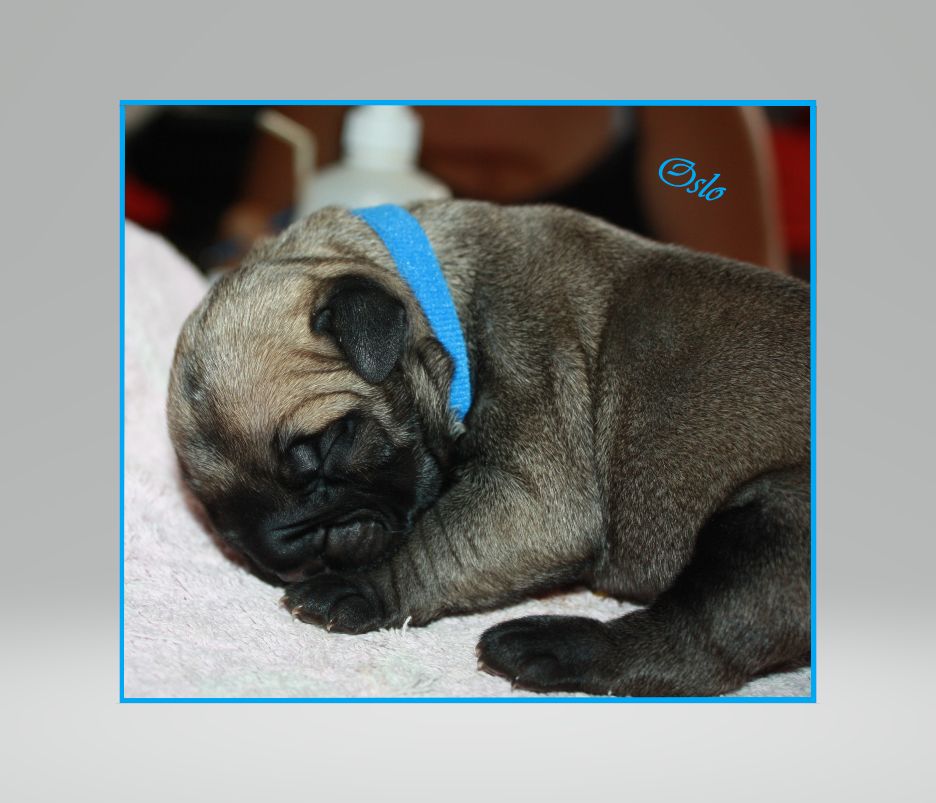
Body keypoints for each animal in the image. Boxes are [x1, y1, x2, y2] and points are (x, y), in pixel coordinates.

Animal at [167, 200, 811, 696]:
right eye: (221, 519)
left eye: (332, 446)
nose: (289, 551)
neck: (447, 294)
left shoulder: (533, 484)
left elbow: (436, 542)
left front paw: (356, 588)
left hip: (778, 516)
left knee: (701, 643)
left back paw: (550, 647)